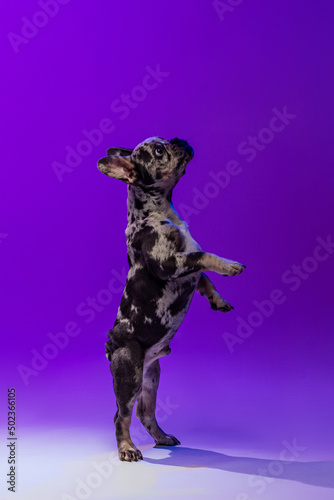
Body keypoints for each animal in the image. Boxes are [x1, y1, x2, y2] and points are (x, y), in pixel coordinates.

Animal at [97, 136, 245, 460]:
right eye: (158, 151)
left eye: (164, 141)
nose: (179, 140)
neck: (161, 210)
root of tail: (111, 345)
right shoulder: (170, 263)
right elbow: (204, 257)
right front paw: (228, 265)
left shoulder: (186, 265)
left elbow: (203, 277)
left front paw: (218, 300)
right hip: (129, 375)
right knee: (120, 415)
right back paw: (127, 448)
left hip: (150, 378)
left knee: (145, 413)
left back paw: (162, 437)